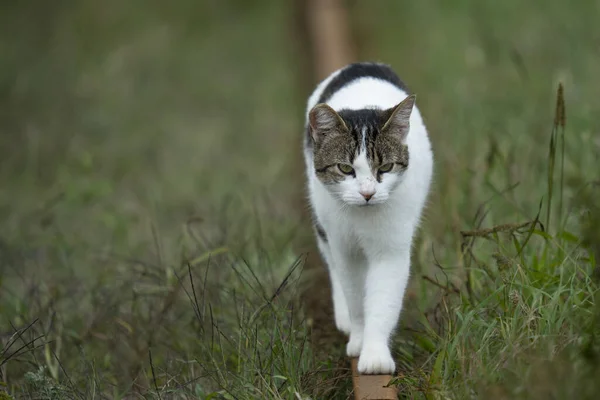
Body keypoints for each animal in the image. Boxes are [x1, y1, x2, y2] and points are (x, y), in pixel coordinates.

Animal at [304, 62, 432, 376]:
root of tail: (361, 65)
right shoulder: (344, 248)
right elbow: (354, 296)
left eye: (385, 167)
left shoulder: (391, 248)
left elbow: (382, 299)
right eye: (344, 168)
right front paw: (358, 340)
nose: (367, 193)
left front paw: (375, 356)